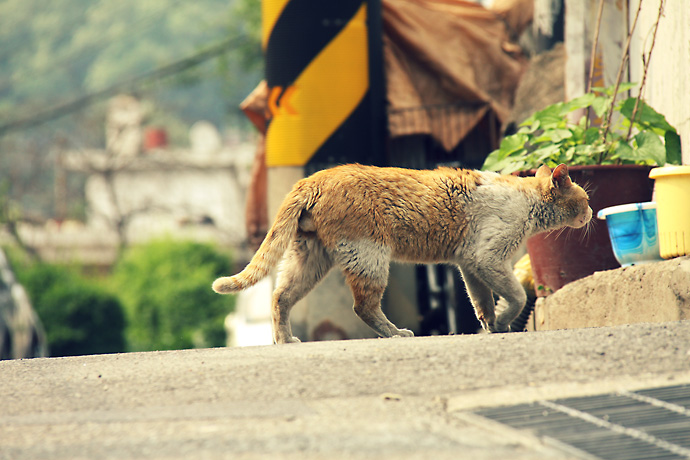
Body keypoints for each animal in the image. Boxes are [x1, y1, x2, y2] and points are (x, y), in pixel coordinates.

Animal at [212, 164, 588, 344]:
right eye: (584, 200)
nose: (589, 213)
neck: (526, 202)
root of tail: (313, 180)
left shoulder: (469, 264)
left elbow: (481, 301)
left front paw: (493, 326)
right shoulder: (487, 258)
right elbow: (516, 296)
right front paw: (505, 320)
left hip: (310, 259)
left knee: (280, 297)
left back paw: (285, 339)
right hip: (370, 256)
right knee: (363, 306)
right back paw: (396, 333)